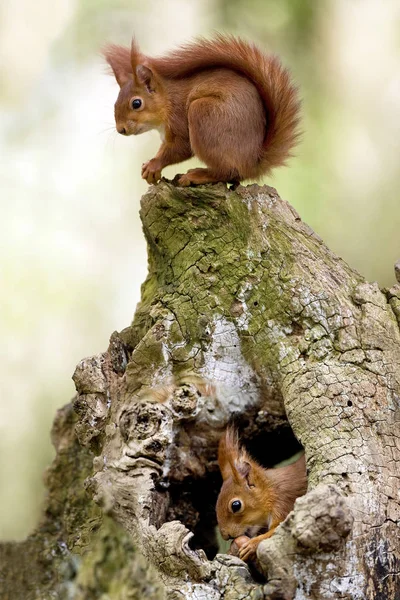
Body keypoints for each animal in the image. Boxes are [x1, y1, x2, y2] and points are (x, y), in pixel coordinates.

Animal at [103, 35, 300, 185]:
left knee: (229, 172)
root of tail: (253, 163)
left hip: (203, 114)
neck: (167, 102)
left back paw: (198, 175)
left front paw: (154, 165)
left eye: (136, 103)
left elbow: (181, 148)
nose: (121, 129)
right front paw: (150, 167)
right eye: (114, 103)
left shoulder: (179, 119)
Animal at [216, 428, 306, 560]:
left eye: (236, 505)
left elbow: (275, 532)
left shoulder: (284, 504)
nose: (225, 535)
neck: (271, 490)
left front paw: (251, 545)